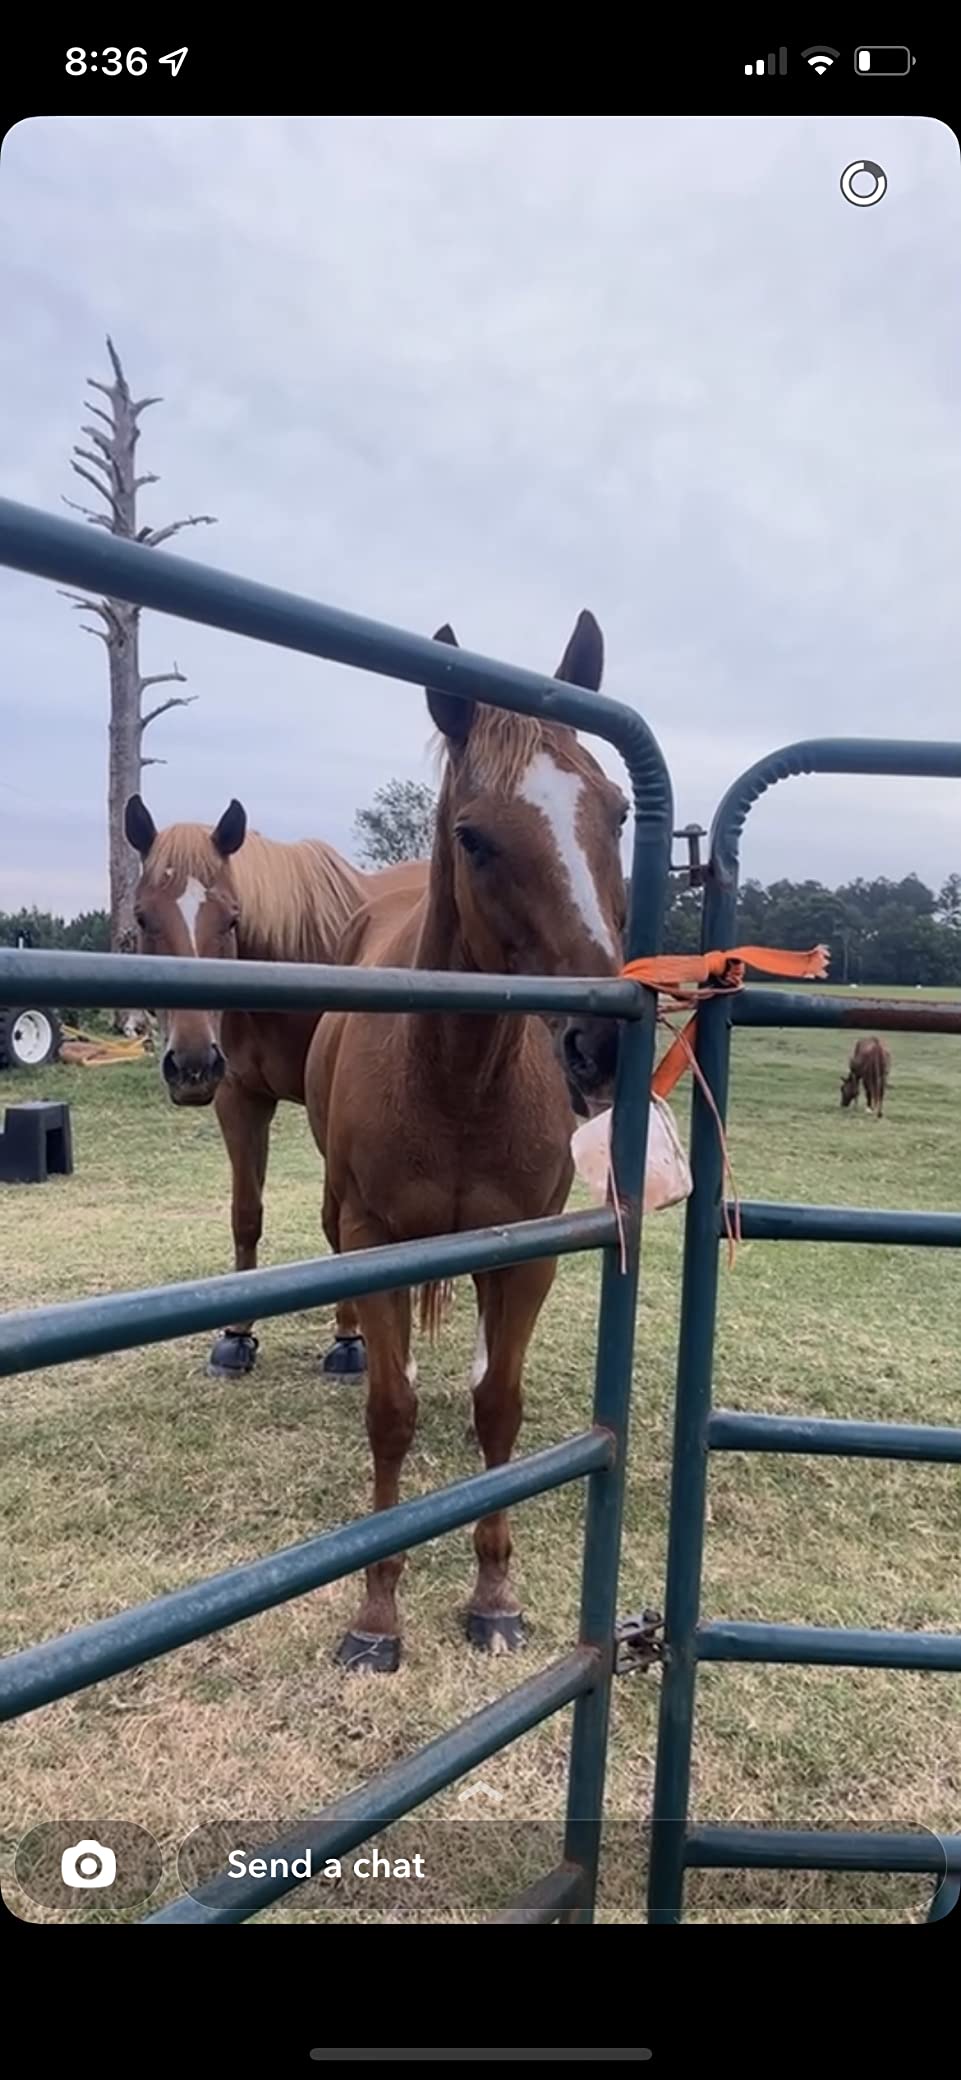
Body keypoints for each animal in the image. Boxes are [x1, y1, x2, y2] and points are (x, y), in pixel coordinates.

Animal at [124, 794, 428, 1375]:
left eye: (232, 919)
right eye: (143, 917)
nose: (191, 1064)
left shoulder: (328, 1116)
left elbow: (335, 1224)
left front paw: (349, 1339)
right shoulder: (240, 1100)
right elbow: (246, 1216)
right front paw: (237, 1334)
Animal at [304, 610, 628, 1672]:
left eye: (616, 812)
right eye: (475, 836)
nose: (601, 1041)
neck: (454, 1078)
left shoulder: (524, 1256)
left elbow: (499, 1409)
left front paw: (493, 1595)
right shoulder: (374, 1241)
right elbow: (391, 1413)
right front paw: (377, 1612)